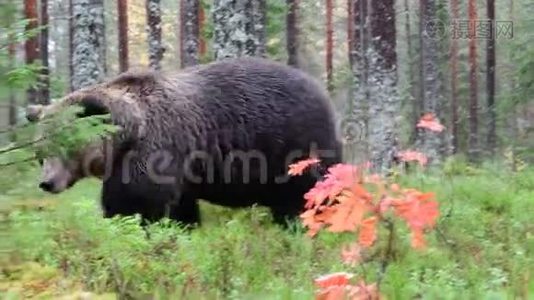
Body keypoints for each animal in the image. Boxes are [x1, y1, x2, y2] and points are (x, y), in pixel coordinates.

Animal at [26, 58, 344, 227]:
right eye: (40, 152)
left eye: (65, 146)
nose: (47, 183)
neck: (127, 138)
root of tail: (322, 89)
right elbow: (181, 210)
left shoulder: (156, 151)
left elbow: (136, 204)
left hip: (295, 146)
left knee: (308, 193)